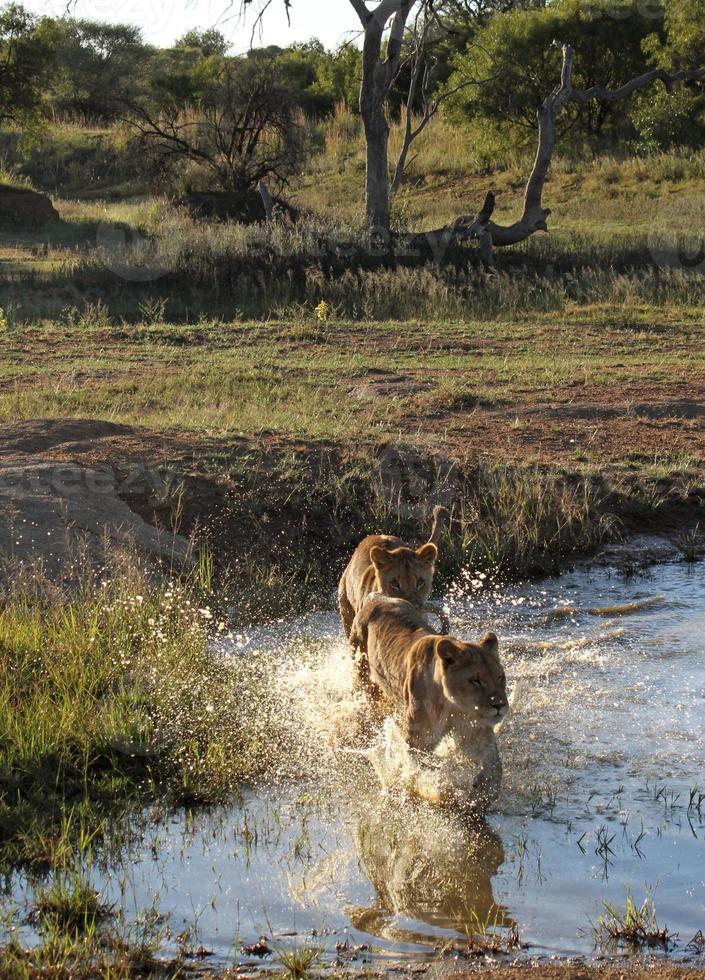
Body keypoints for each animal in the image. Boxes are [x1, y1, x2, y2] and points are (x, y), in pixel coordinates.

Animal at [348, 596, 506, 812]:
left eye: (500, 677)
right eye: (476, 681)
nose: (500, 705)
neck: (453, 705)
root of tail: (379, 597)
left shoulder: (474, 730)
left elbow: (493, 763)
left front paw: (482, 794)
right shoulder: (418, 740)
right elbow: (421, 768)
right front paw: (437, 791)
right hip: (361, 672)